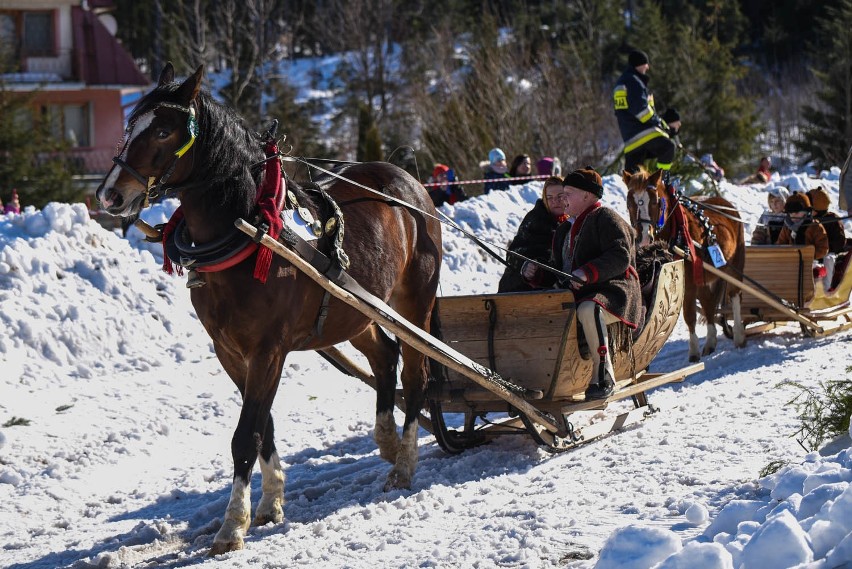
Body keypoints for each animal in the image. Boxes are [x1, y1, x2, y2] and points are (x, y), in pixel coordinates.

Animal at [96, 64, 442, 552]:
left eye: (163, 130)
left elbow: (246, 435)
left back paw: (404, 464)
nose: (110, 195)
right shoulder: (230, 351)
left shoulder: (268, 350)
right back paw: (388, 442)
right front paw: (271, 502)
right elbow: (264, 426)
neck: (248, 230)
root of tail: (406, 179)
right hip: (356, 309)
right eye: (129, 127)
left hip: (415, 303)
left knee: (415, 374)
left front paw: (232, 524)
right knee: (384, 357)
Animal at [624, 169, 744, 360]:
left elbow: (689, 315)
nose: (643, 238)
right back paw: (711, 342)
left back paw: (739, 336)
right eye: (629, 203)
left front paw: (693, 352)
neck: (675, 233)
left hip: (735, 265)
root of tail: (726, 205)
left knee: (734, 295)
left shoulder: (689, 283)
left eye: (655, 201)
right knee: (708, 304)